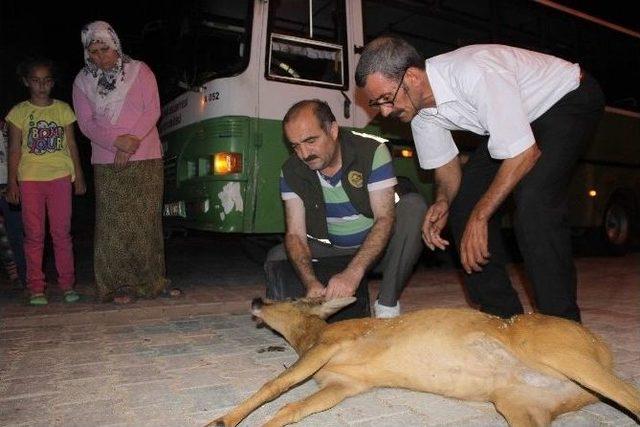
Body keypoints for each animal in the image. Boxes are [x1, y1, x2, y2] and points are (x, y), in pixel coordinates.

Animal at [208, 298, 636, 427]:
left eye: (291, 299)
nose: (257, 299)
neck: (310, 337)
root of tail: (604, 347)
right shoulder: (343, 385)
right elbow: (295, 407)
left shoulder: (331, 345)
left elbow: (275, 386)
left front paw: (222, 420)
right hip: (520, 405)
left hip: (561, 351)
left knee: (632, 395)